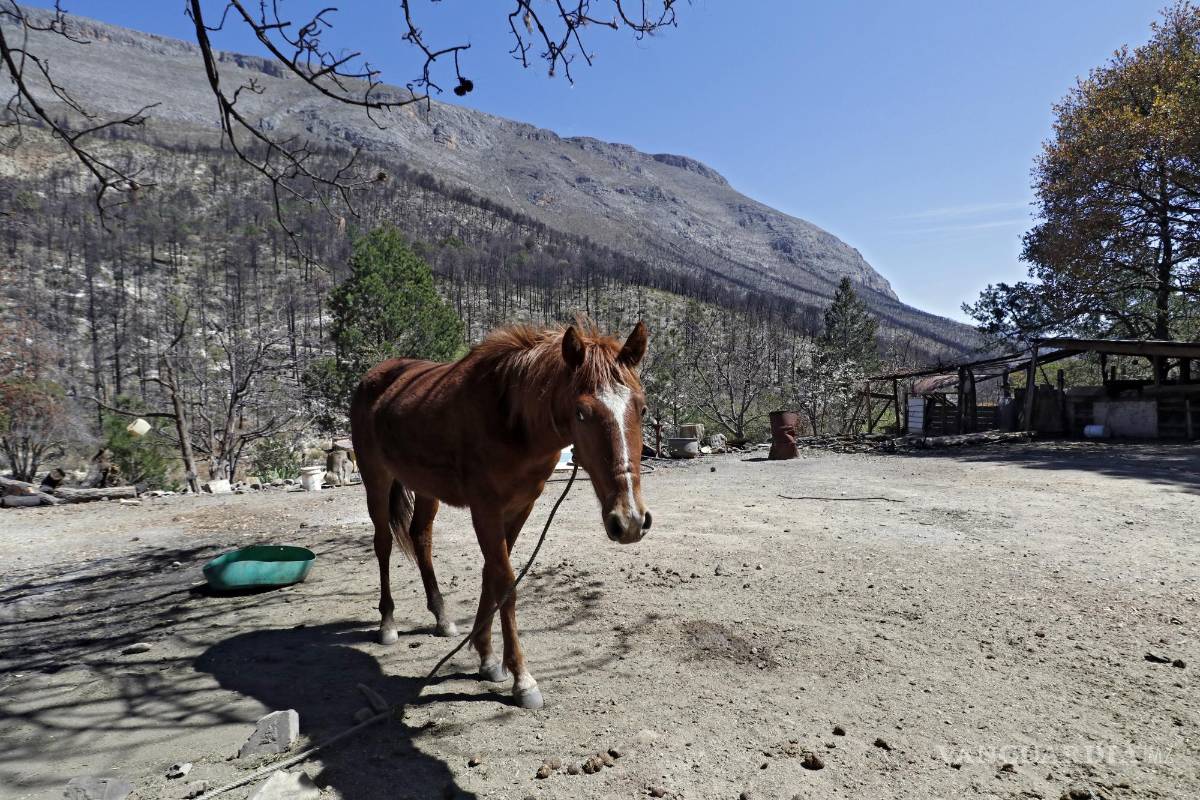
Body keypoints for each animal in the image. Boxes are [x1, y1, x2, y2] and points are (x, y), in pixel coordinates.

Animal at [349, 321, 653, 709]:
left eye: (641, 409)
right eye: (581, 412)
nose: (629, 521)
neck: (511, 418)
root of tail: (376, 375)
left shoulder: (520, 506)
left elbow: (490, 574)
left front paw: (487, 658)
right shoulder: (486, 509)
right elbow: (505, 581)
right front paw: (521, 679)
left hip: (426, 488)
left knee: (421, 538)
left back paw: (442, 617)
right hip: (376, 478)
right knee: (383, 543)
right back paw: (387, 623)